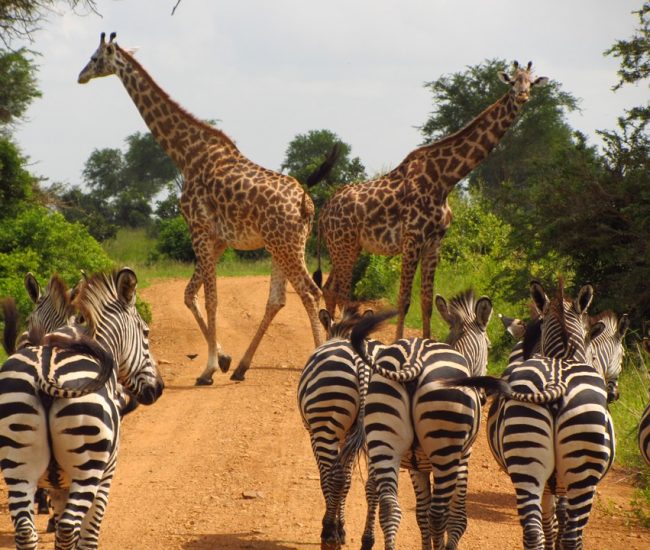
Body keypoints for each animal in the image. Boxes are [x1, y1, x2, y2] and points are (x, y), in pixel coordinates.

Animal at [0, 267, 164, 549]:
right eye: (145, 333)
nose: (160, 388)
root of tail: (46, 374)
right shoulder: (106, 473)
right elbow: (87, 536)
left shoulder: (59, 485)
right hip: (88, 463)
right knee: (68, 528)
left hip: (17, 465)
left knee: (26, 531)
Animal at [297, 305, 382, 550]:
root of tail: (362, 364)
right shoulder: (349, 436)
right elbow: (347, 480)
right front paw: (342, 527)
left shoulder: (314, 434)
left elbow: (327, 478)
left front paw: (334, 527)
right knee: (373, 484)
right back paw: (367, 541)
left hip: (326, 425)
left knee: (334, 479)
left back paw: (327, 535)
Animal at [349, 290, 492, 550]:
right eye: (489, 345)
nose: (484, 398)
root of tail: (413, 359)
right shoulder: (463, 457)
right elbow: (456, 518)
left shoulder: (417, 466)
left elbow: (420, 514)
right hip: (445, 449)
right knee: (438, 514)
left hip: (385, 440)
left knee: (390, 507)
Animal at [443, 280, 615, 550]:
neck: (562, 355)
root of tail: (557, 382)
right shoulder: (552, 486)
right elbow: (553, 522)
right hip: (553, 467)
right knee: (552, 534)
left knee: (548, 533)